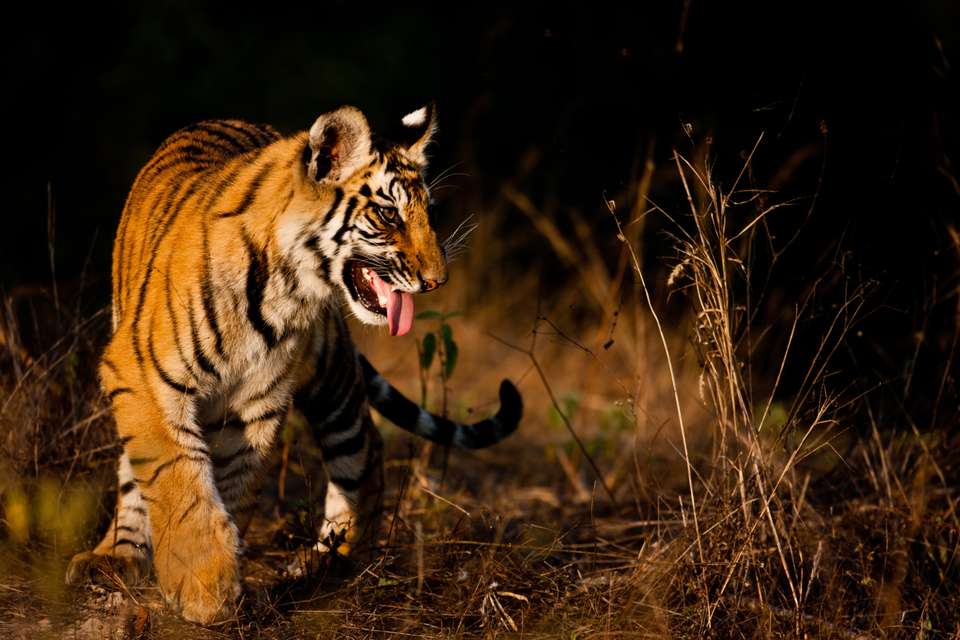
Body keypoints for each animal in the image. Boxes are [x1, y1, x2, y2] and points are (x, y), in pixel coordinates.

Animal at [64, 104, 522, 624]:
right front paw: (205, 584)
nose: (437, 280)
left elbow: (228, 482)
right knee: (132, 473)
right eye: (388, 214)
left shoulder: (254, 401)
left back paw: (331, 562)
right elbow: (176, 474)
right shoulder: (143, 374)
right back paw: (114, 556)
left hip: (332, 379)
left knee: (367, 454)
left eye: (429, 212)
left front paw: (212, 584)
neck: (283, 290)